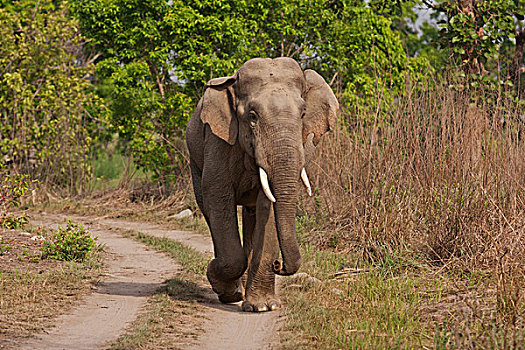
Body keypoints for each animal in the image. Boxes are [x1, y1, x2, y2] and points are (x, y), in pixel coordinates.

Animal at [186, 57, 338, 312]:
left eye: (303, 114)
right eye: (253, 116)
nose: (279, 265)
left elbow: (268, 206)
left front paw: (263, 307)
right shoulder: (218, 141)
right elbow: (218, 196)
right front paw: (225, 288)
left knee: (252, 213)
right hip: (195, 160)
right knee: (208, 207)